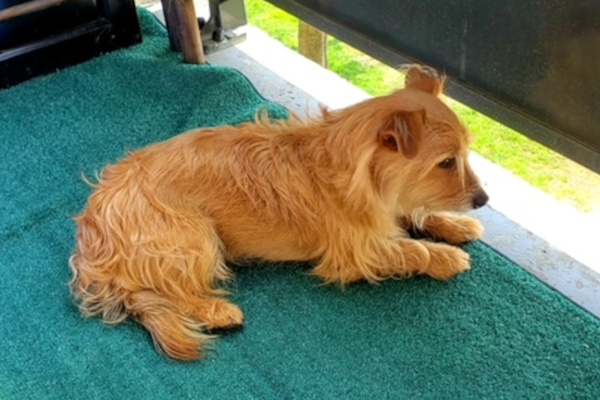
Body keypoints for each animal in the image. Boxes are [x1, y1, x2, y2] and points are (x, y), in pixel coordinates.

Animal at [69, 65, 488, 360]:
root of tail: (95, 249)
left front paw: (454, 225)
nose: (483, 199)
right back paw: (215, 310)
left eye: (464, 155)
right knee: (169, 291)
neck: (358, 173)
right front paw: (445, 257)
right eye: (446, 162)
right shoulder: (357, 253)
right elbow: (409, 249)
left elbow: (416, 213)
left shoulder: (388, 208)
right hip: (193, 235)